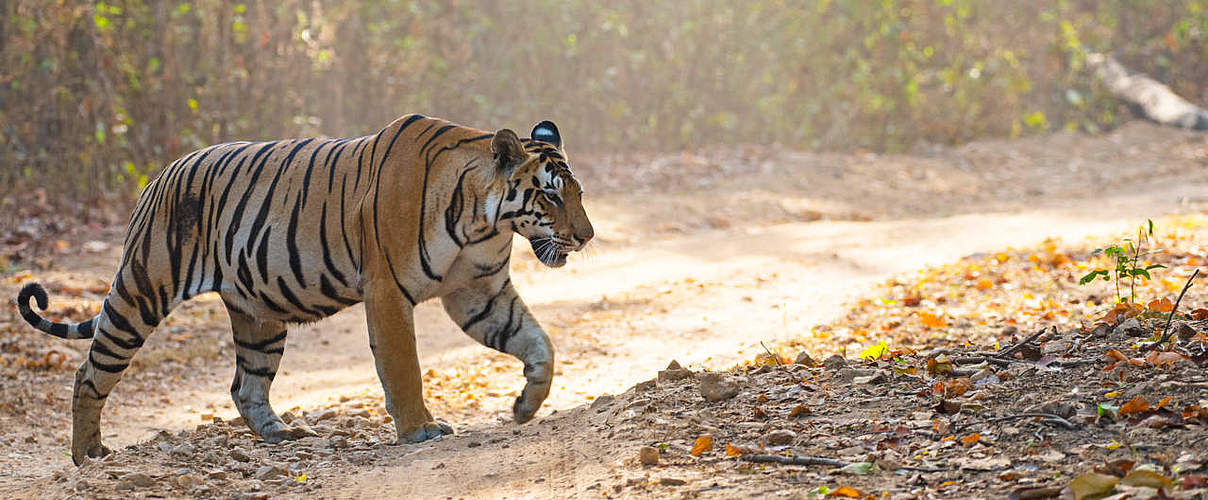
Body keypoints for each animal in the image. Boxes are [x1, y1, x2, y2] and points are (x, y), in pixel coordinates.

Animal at [11, 114, 591, 463]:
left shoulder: (478, 292)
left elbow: (537, 341)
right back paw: (89, 454)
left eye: (578, 193)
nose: (587, 237)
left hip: (259, 315)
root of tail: (157, 177)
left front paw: (526, 405)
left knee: (245, 386)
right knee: (90, 372)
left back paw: (283, 434)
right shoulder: (387, 292)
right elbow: (403, 366)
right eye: (551, 196)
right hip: (141, 292)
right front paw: (420, 430)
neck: (484, 219)